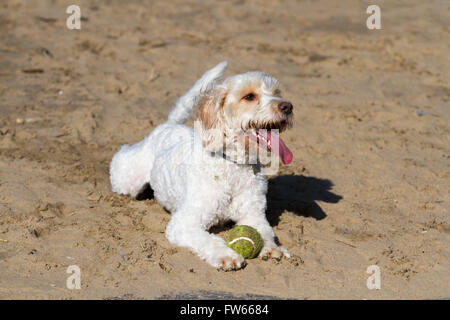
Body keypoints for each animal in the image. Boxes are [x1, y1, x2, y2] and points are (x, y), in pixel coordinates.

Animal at [110, 60, 294, 270]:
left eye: (276, 92)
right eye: (249, 96)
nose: (288, 106)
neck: (234, 165)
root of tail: (169, 124)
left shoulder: (253, 215)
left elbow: (265, 232)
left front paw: (272, 249)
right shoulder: (183, 224)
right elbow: (209, 240)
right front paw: (226, 255)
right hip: (127, 180)